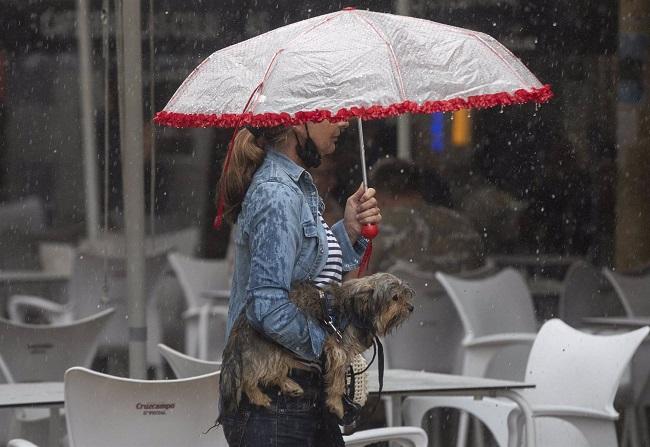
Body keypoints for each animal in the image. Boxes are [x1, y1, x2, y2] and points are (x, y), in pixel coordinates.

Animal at [216, 272, 410, 422]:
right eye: (395, 298)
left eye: (406, 295)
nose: (411, 308)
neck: (356, 310)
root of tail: (239, 326)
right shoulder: (338, 349)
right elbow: (338, 381)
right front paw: (337, 405)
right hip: (269, 348)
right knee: (249, 377)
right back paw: (259, 396)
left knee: (275, 372)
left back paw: (289, 385)